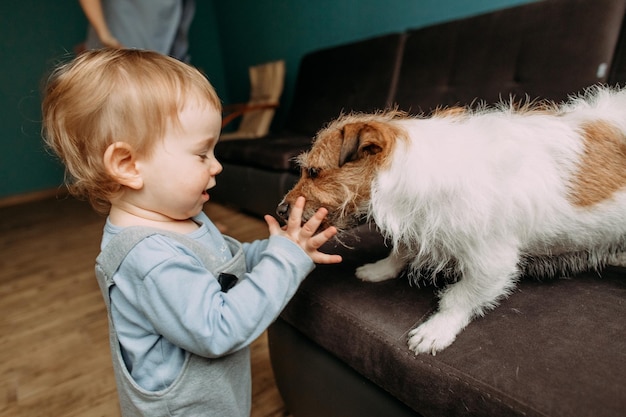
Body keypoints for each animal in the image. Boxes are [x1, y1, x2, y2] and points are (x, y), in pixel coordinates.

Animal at [278, 86, 626, 352]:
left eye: (314, 172)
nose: (281, 211)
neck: (408, 168)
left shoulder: (492, 261)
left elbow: (460, 296)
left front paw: (436, 330)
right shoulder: (419, 222)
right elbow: (402, 249)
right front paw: (380, 269)